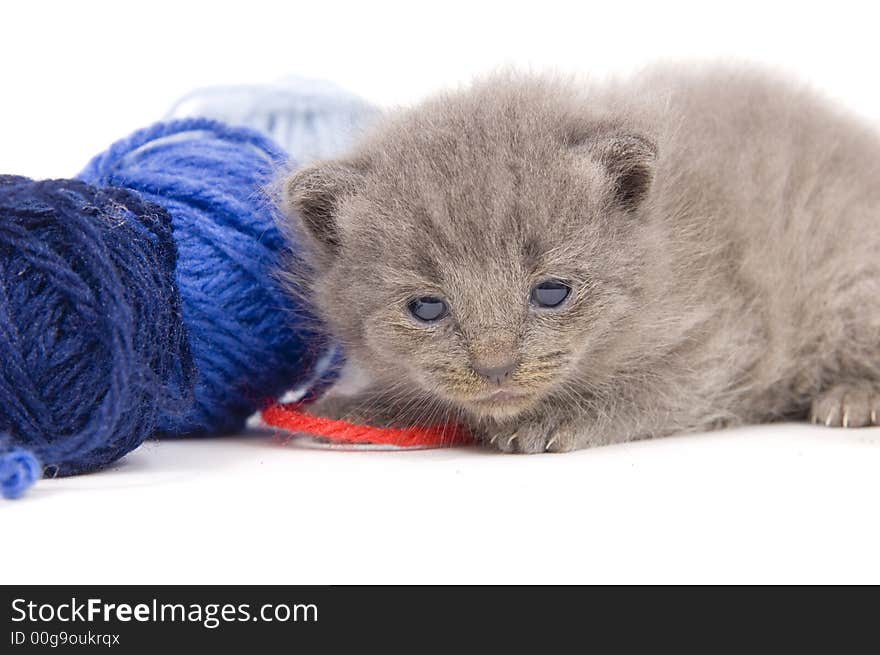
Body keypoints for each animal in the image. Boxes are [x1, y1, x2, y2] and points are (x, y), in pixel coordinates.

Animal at [280, 68, 880, 456]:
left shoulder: (722, 342)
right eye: (426, 307)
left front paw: (557, 416)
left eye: (551, 292)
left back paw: (852, 398)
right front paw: (360, 408)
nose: (495, 367)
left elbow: (647, 389)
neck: (667, 244)